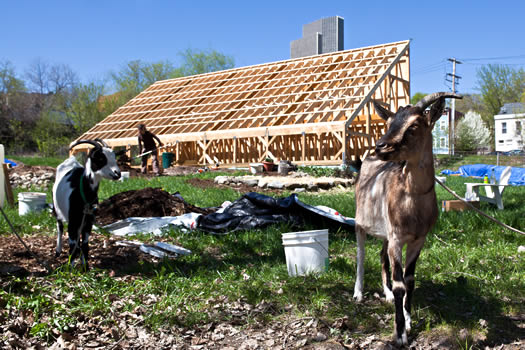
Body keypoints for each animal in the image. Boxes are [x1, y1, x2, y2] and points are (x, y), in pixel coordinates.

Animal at [53, 139, 121, 268]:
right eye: (100, 158)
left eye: (114, 157)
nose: (117, 174)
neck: (83, 193)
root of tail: (71, 161)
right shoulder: (73, 221)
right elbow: (73, 246)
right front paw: (71, 267)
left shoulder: (89, 221)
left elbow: (85, 245)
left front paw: (85, 267)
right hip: (57, 209)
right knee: (60, 227)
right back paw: (58, 251)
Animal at [354, 92, 460, 344]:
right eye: (389, 122)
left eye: (413, 126)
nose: (380, 146)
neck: (413, 202)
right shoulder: (397, 238)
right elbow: (400, 284)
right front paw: (400, 334)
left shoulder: (417, 239)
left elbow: (409, 281)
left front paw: (409, 320)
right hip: (360, 222)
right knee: (361, 255)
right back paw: (358, 293)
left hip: (384, 232)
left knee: (382, 256)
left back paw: (386, 294)